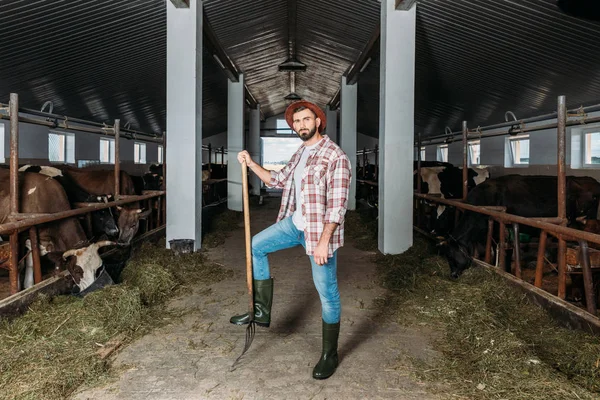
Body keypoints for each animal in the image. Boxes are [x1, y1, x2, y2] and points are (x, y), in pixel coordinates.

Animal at [440, 173, 600, 280]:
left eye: (450, 256)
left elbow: (506, 248)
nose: (452, 275)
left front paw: (506, 270)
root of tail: (591, 180)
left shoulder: (504, 225)